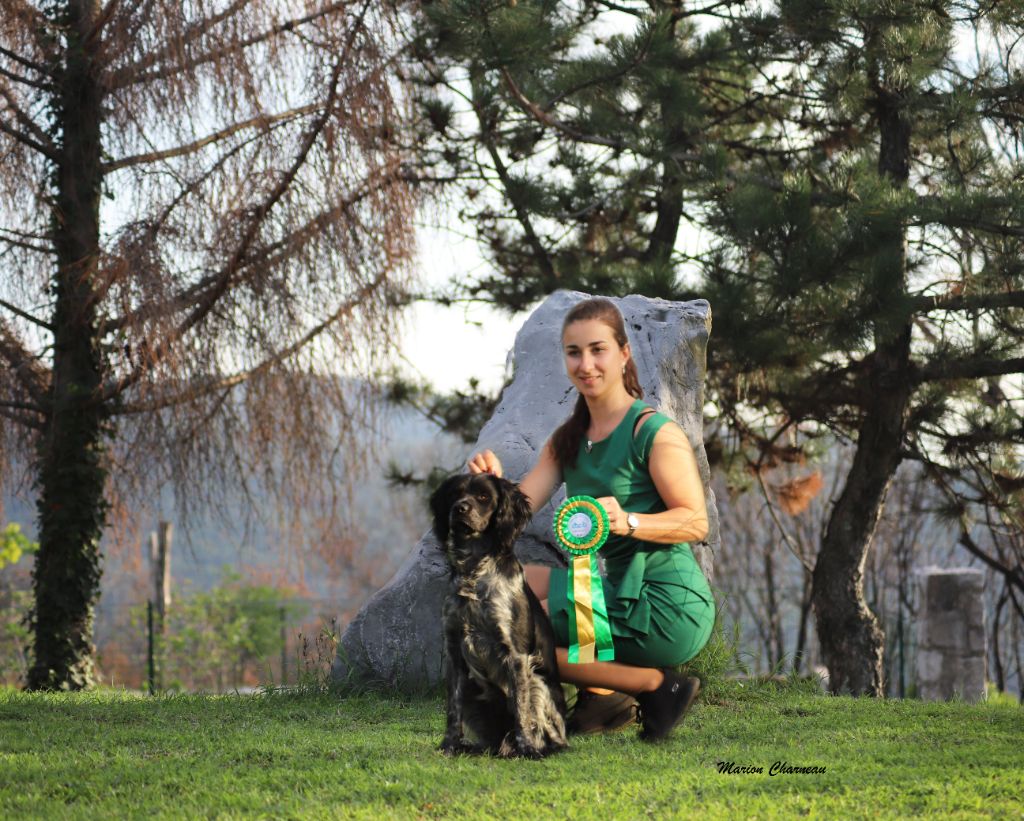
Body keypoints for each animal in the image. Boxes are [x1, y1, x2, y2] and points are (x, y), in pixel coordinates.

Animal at [429, 472, 568, 759]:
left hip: (538, 684)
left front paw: (527, 748)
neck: (474, 573)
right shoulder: (454, 651)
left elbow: (521, 710)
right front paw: (449, 745)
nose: (460, 508)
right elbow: (452, 709)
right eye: (454, 494)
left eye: (483, 496)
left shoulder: (515, 654)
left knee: (551, 737)